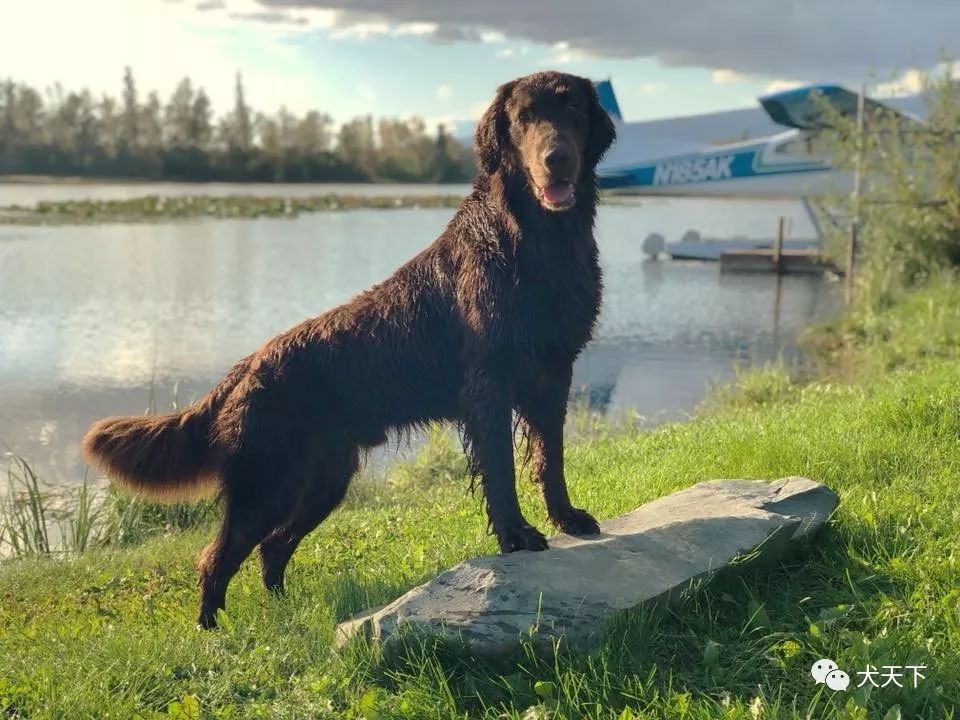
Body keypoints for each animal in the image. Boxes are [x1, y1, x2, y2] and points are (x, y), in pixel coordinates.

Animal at [86, 70, 620, 628]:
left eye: (573, 111)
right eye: (524, 118)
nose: (557, 158)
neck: (538, 242)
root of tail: (246, 366)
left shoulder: (554, 374)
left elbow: (550, 459)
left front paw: (567, 518)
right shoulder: (488, 386)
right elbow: (501, 471)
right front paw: (516, 536)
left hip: (323, 479)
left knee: (271, 547)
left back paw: (287, 617)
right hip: (265, 484)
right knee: (217, 556)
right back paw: (212, 631)